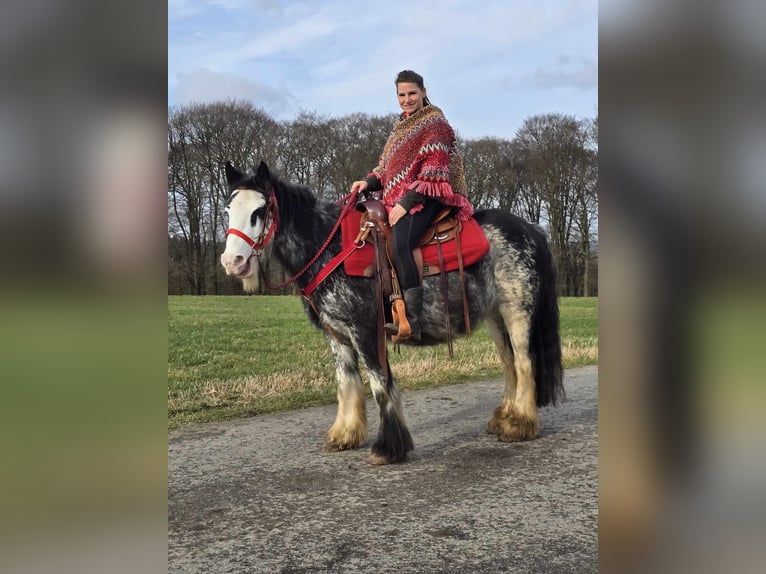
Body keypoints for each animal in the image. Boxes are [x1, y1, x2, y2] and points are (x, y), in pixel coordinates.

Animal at [219, 160, 560, 466]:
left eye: (259, 212)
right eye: (227, 211)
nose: (232, 262)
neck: (331, 251)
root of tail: (531, 229)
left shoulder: (366, 332)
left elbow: (381, 386)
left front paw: (389, 448)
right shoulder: (337, 335)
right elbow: (347, 383)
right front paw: (345, 435)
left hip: (516, 312)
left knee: (524, 362)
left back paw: (520, 425)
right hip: (494, 317)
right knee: (509, 363)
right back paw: (505, 418)